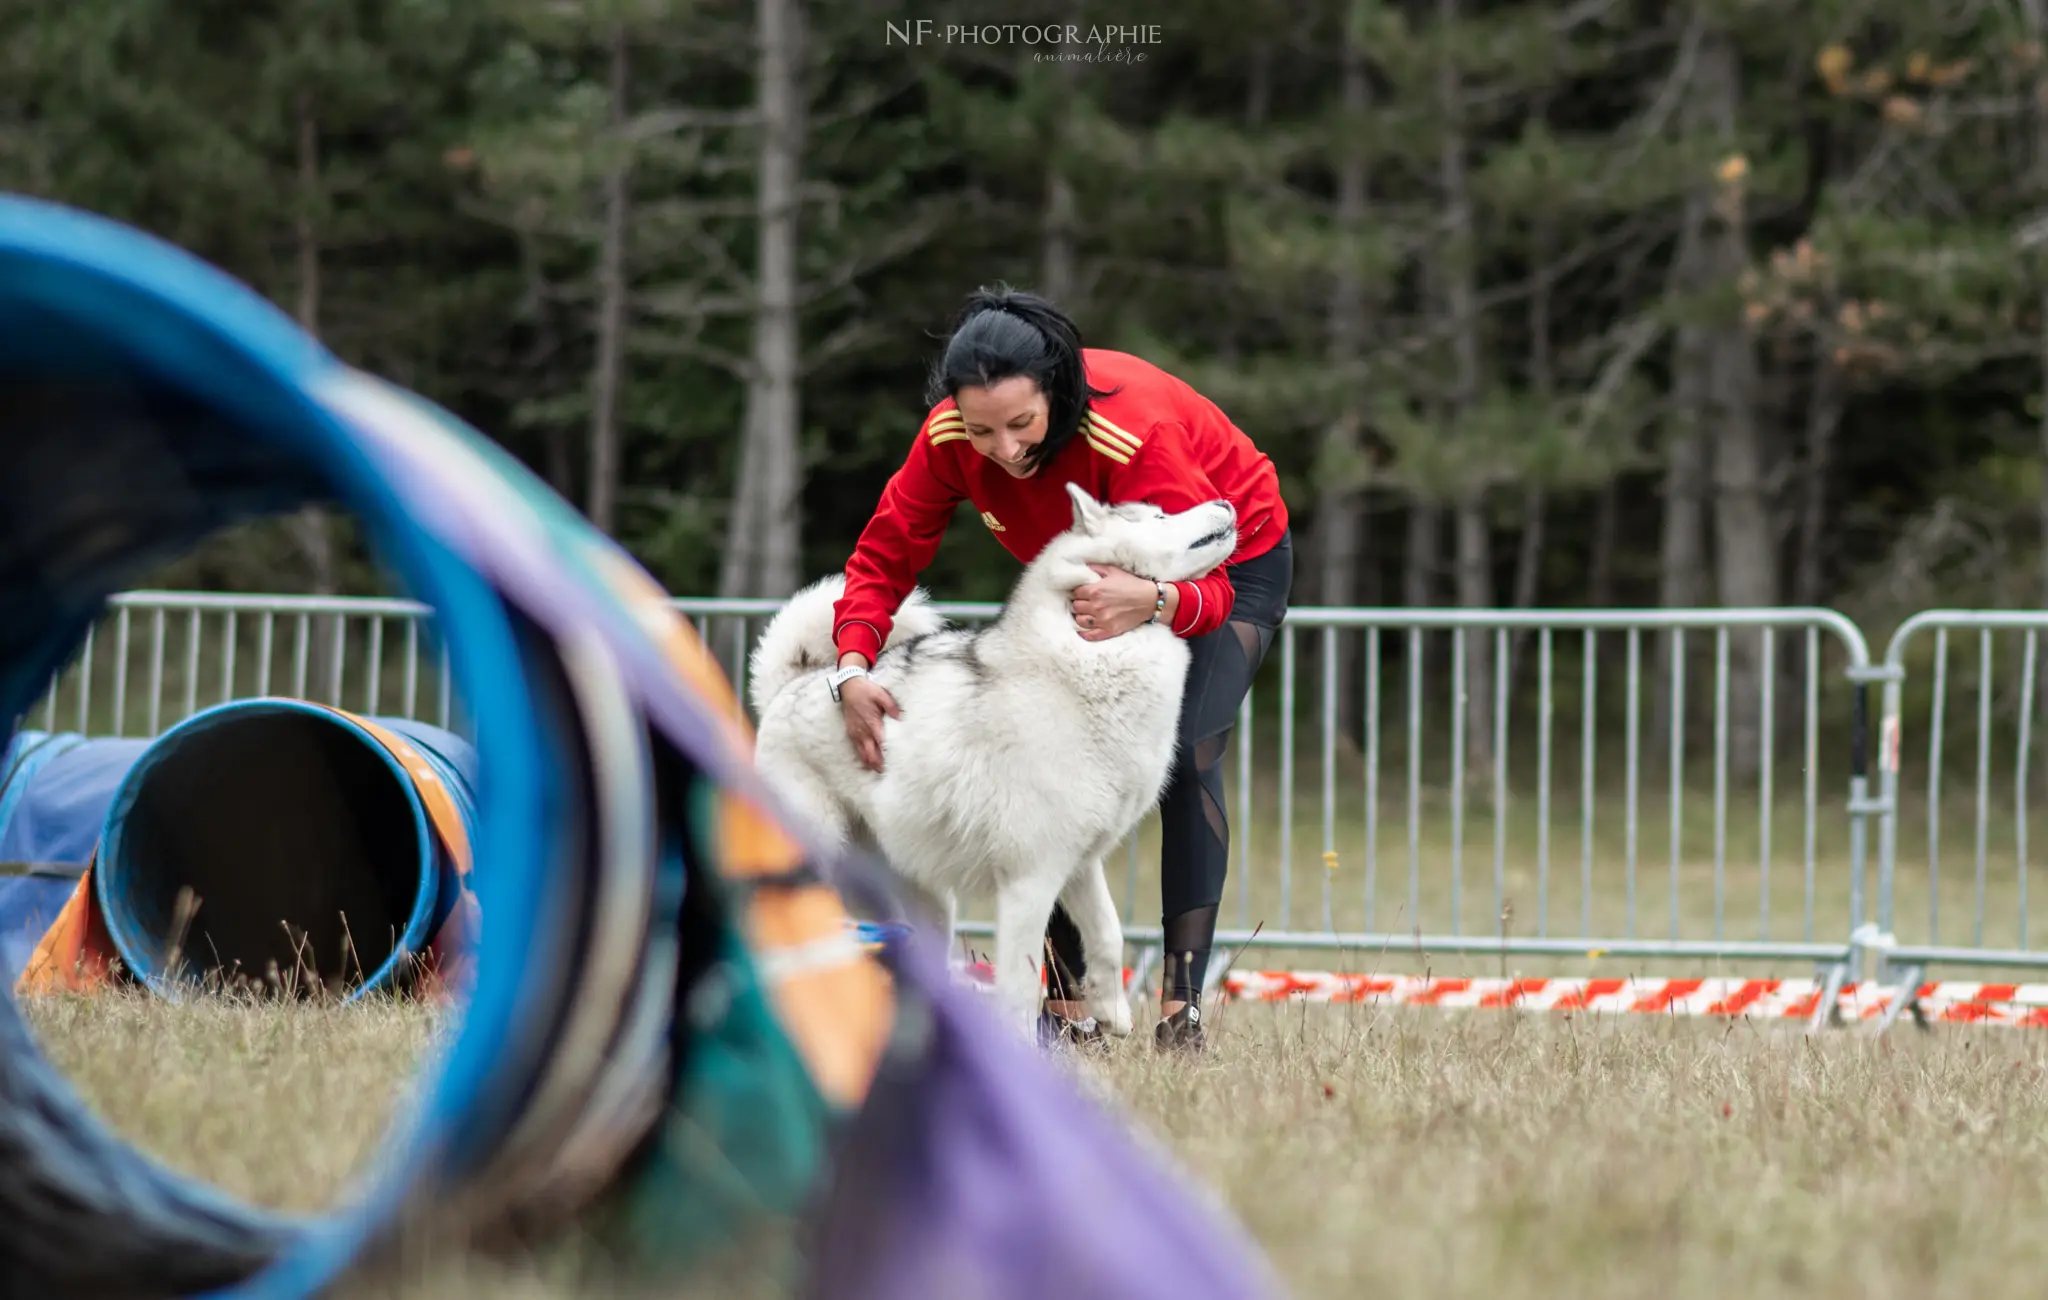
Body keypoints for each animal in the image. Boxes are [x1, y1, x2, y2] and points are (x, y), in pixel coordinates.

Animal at [749, 483, 1236, 1044]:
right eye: (1158, 517)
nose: (1225, 501)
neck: (1088, 660)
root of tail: (791, 687)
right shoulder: (1031, 880)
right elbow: (1022, 985)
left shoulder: (1080, 865)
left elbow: (1109, 936)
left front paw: (1113, 1011)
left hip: (929, 903)